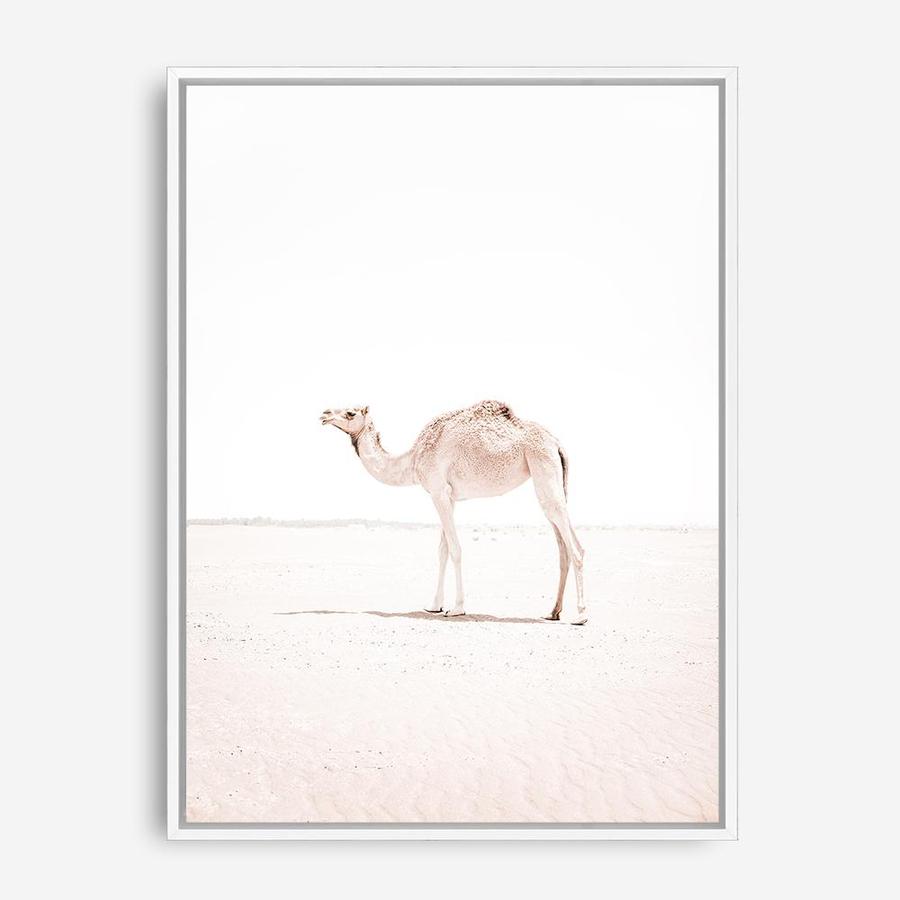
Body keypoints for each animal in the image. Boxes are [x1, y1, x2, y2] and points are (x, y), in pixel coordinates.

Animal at [320, 400, 587, 624]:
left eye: (350, 412)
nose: (324, 414)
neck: (413, 459)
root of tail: (557, 444)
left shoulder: (438, 492)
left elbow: (456, 549)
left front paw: (457, 608)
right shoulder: (448, 497)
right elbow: (443, 550)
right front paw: (434, 605)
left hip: (542, 467)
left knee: (574, 548)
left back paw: (581, 615)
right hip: (551, 478)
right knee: (563, 545)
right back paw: (553, 612)